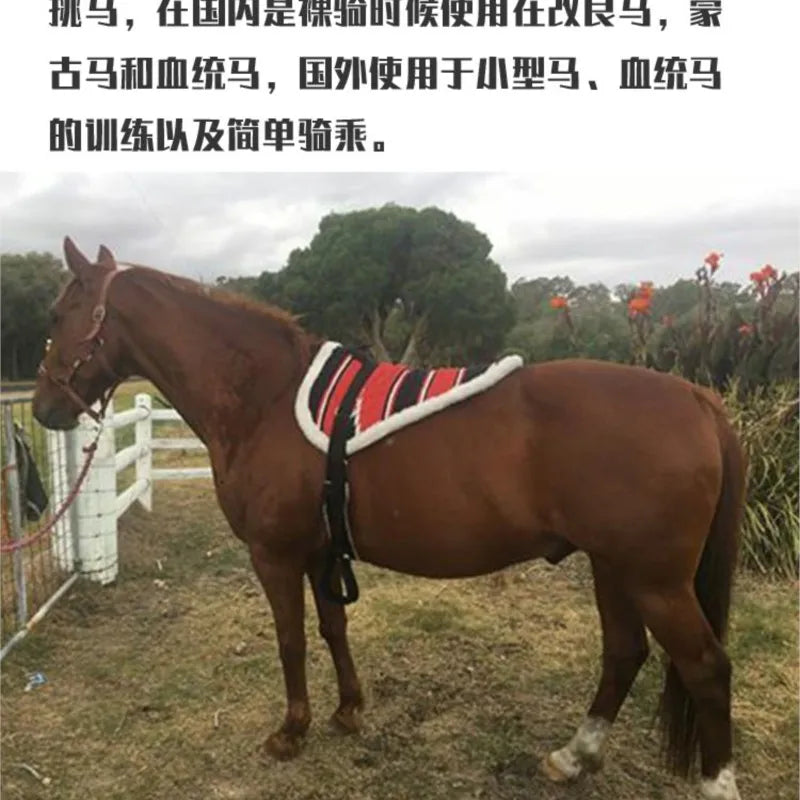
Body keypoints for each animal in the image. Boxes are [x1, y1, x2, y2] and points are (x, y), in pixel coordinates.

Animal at [33, 239, 746, 800]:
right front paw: (348, 711)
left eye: (60, 314)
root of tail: (696, 396)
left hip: (654, 580)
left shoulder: (275, 555)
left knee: (707, 668)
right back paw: (574, 757)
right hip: (613, 567)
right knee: (624, 654)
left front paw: (292, 731)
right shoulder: (321, 552)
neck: (263, 398)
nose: (43, 408)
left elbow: (291, 639)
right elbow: (333, 627)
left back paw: (715, 781)